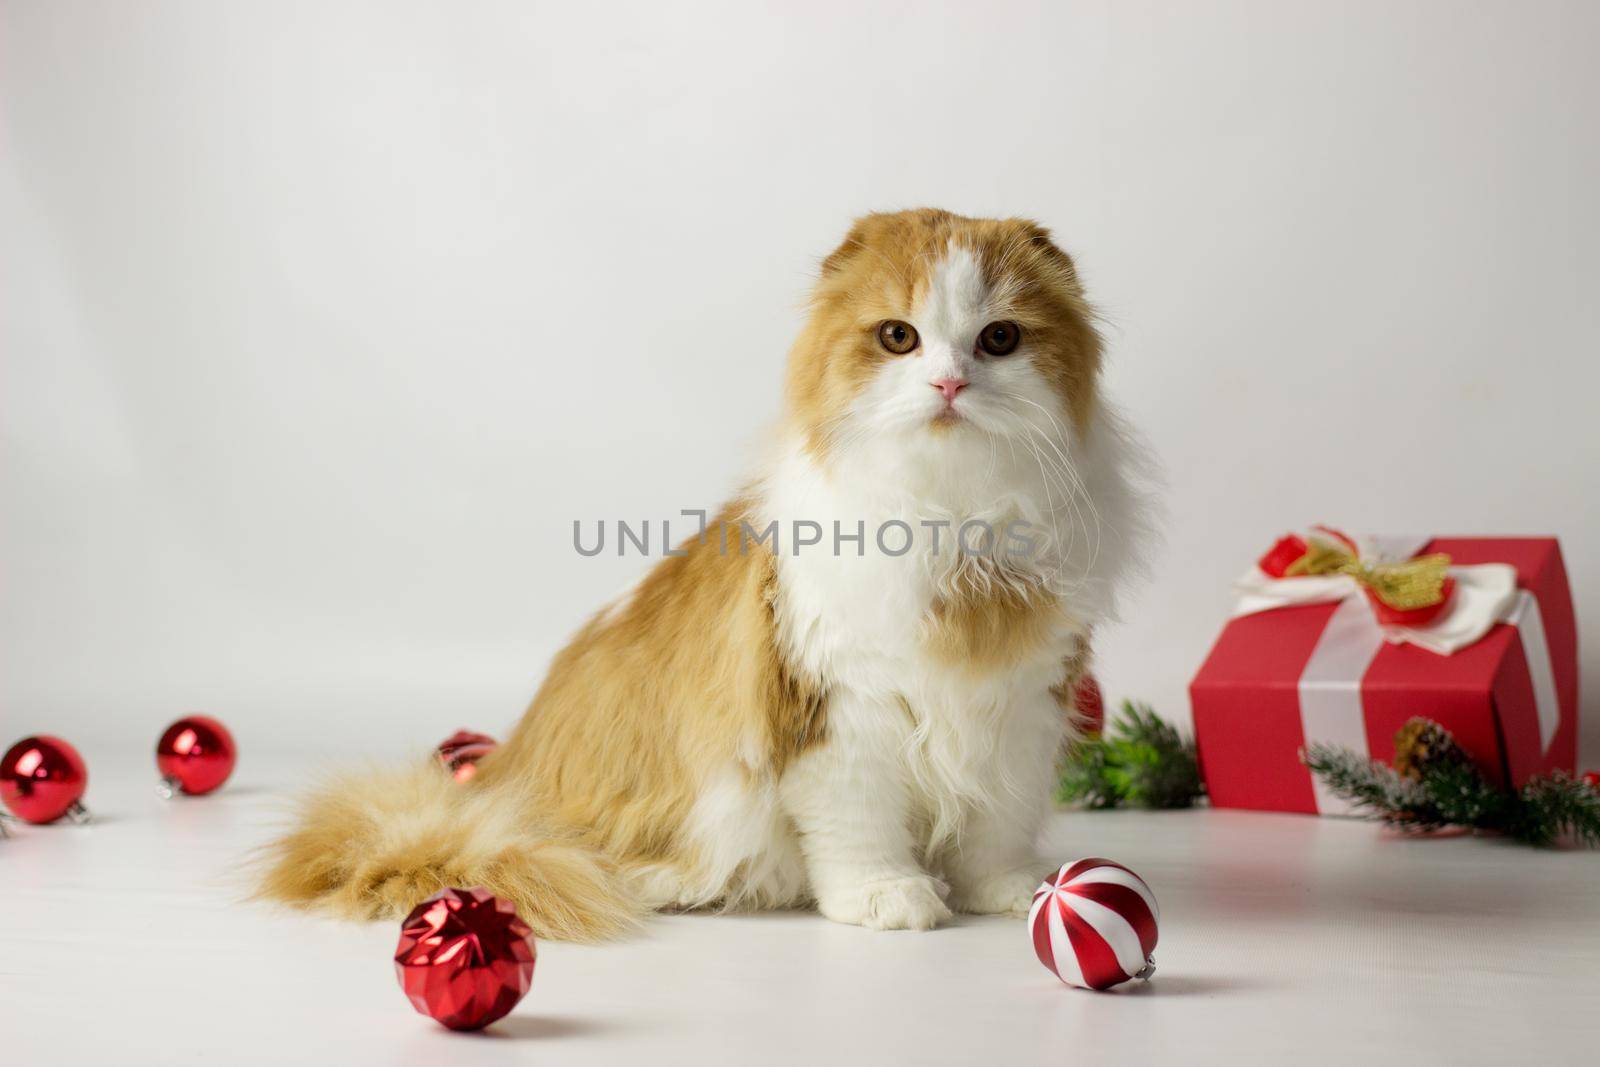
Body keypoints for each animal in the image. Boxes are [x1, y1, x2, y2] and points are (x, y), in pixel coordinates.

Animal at [256, 206, 1152, 934]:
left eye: (999, 339)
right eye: (899, 337)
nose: (949, 381)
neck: (952, 521)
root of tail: (490, 786)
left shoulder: (1022, 705)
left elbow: (996, 823)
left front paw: (1004, 890)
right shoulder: (836, 711)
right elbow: (859, 827)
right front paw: (886, 897)